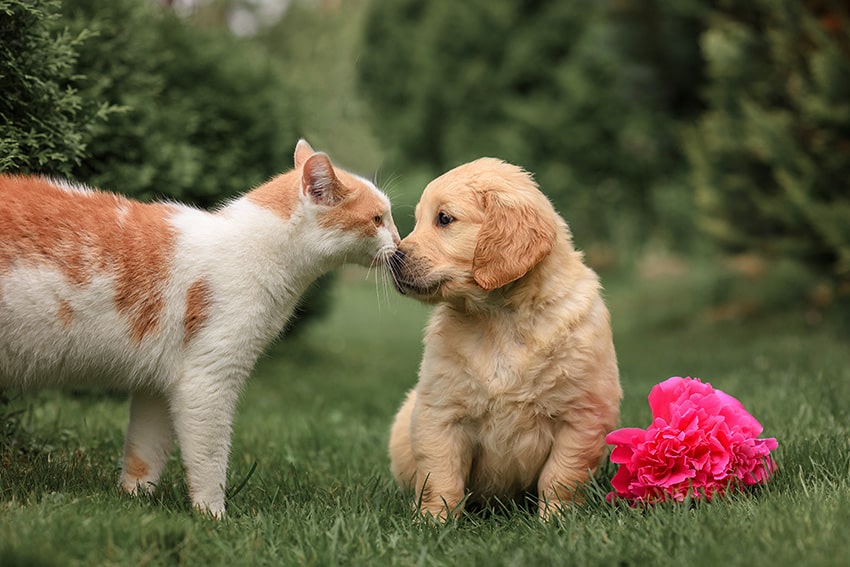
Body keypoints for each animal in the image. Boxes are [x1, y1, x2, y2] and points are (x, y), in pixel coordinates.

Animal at [0, 139, 398, 520]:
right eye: (378, 219)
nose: (398, 242)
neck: (257, 249)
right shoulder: (207, 379)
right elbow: (210, 460)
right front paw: (214, 517)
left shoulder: (157, 382)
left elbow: (144, 453)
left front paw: (133, 502)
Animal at [388, 158, 620, 520]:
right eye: (418, 220)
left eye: (444, 218)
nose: (392, 259)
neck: (500, 317)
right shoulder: (440, 412)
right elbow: (440, 476)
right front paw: (432, 521)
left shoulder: (582, 415)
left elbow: (561, 475)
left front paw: (557, 519)